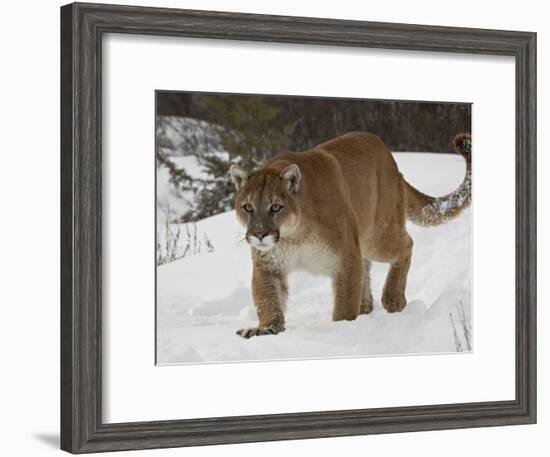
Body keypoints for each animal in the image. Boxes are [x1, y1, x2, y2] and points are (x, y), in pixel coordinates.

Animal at [231, 130, 472, 336]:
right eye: (248, 207)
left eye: (275, 207)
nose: (259, 234)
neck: (293, 236)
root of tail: (393, 163)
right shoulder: (268, 266)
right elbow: (267, 301)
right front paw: (265, 329)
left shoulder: (345, 258)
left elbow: (344, 304)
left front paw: (342, 329)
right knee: (366, 269)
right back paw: (366, 308)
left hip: (376, 237)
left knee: (406, 243)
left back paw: (393, 298)